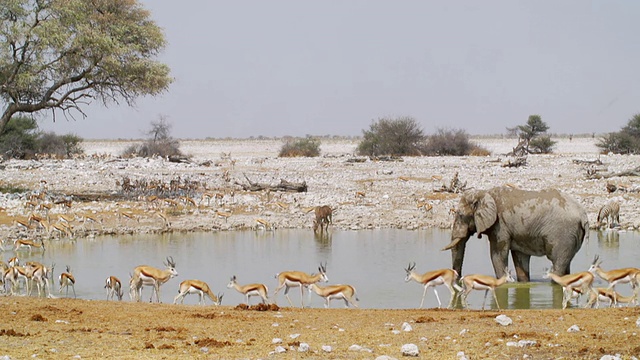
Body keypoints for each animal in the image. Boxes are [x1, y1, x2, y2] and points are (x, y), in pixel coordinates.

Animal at [442, 187, 588, 282]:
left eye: (461, 215)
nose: (458, 278)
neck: (485, 193)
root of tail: (583, 215)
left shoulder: (500, 225)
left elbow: (497, 254)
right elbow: (520, 257)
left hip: (563, 235)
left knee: (558, 264)